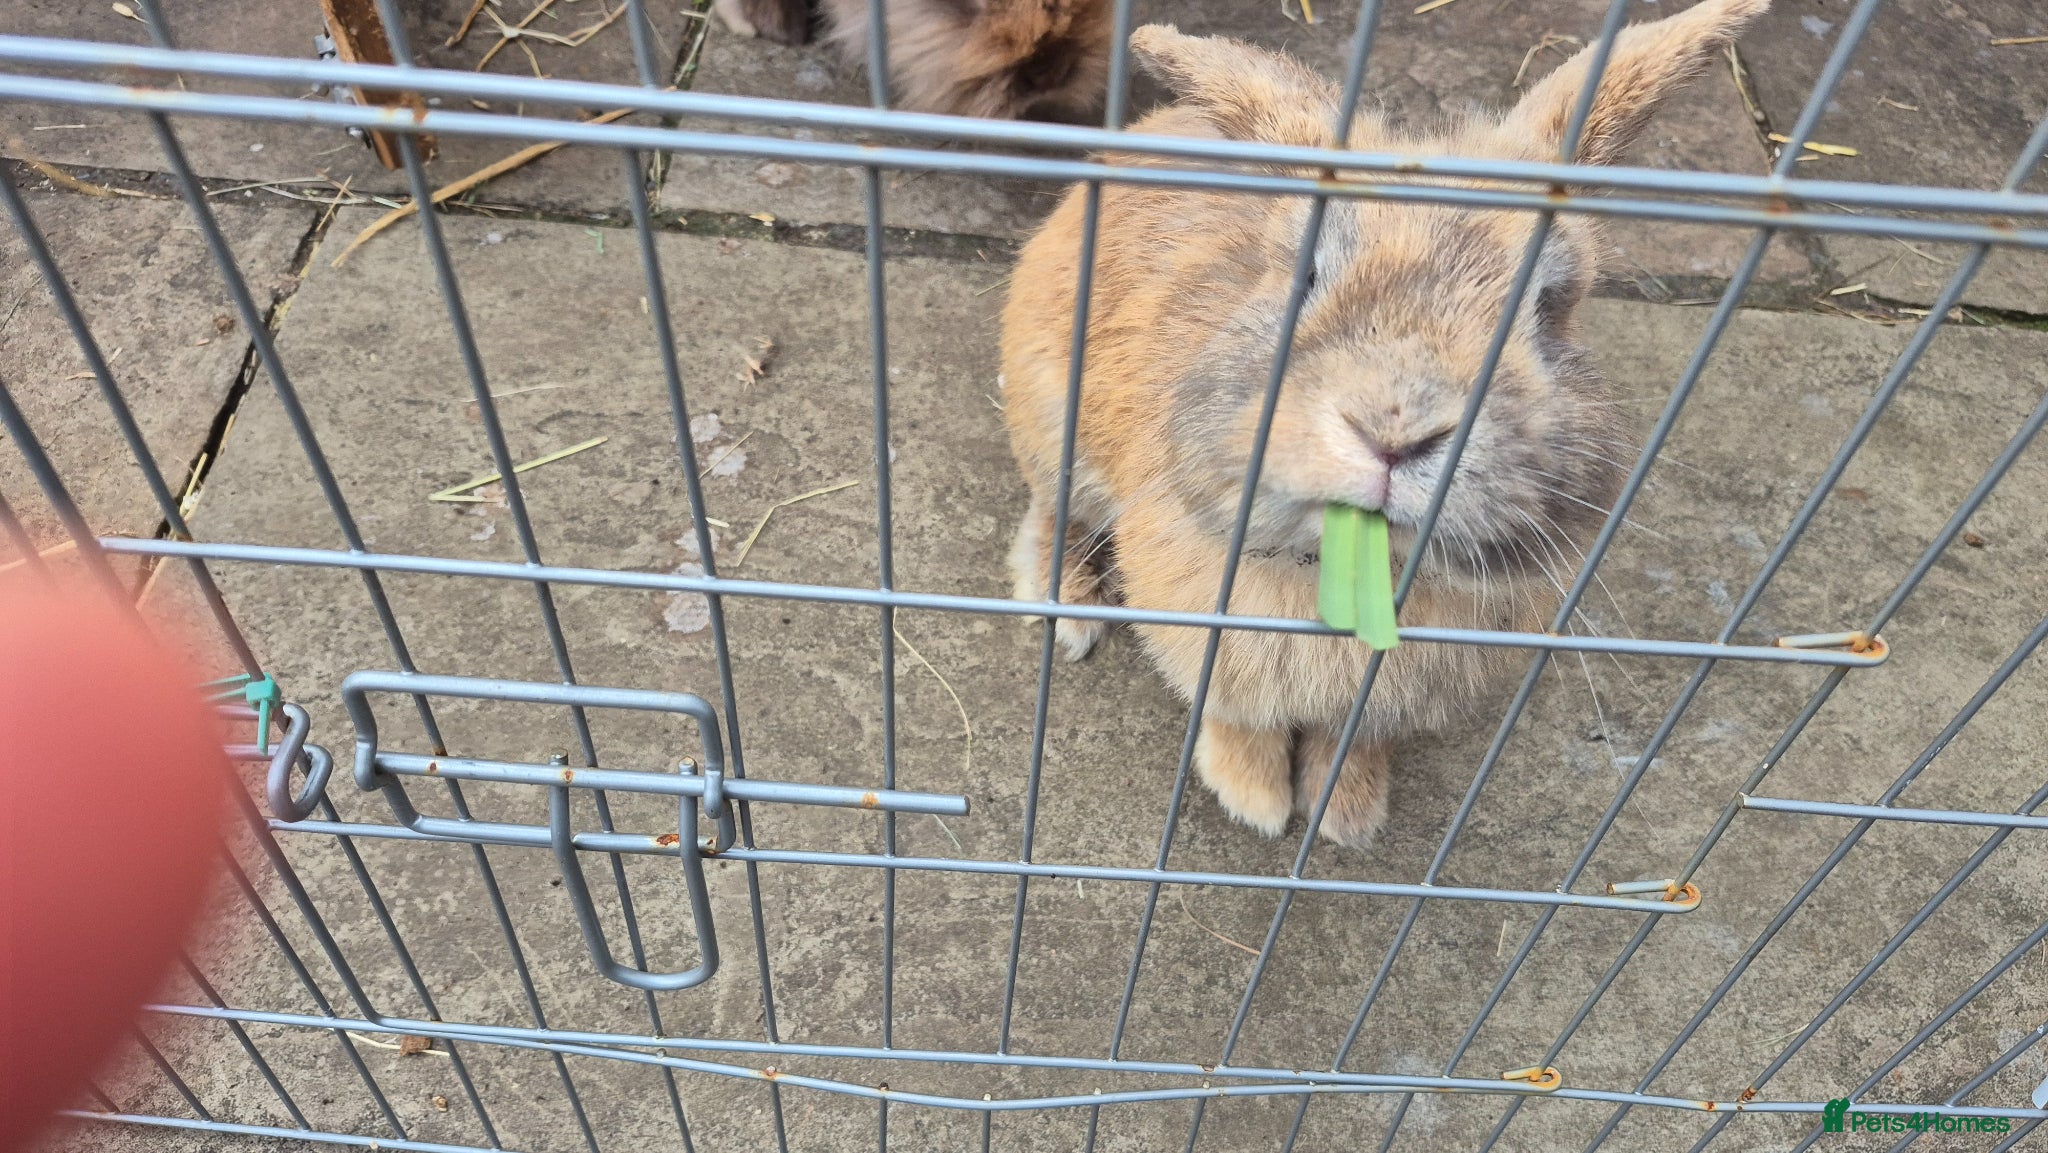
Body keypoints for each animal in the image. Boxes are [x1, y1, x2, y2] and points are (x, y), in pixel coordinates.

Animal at [1000, 0, 1771, 848]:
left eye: (1550, 306)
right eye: (1306, 274)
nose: (1396, 434)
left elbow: (1354, 738)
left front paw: (1346, 813)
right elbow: (1237, 716)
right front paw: (1256, 802)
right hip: (1052, 423)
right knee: (1053, 513)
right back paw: (1067, 610)